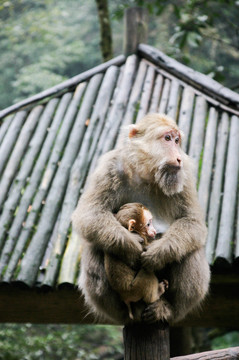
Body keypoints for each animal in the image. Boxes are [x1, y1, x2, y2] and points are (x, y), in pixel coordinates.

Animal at [72, 114, 210, 324]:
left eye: (177, 140)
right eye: (167, 138)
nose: (178, 155)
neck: (148, 171)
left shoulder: (183, 174)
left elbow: (192, 222)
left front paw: (158, 254)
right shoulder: (111, 166)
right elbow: (90, 214)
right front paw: (131, 247)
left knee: (190, 250)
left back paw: (166, 309)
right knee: (95, 246)